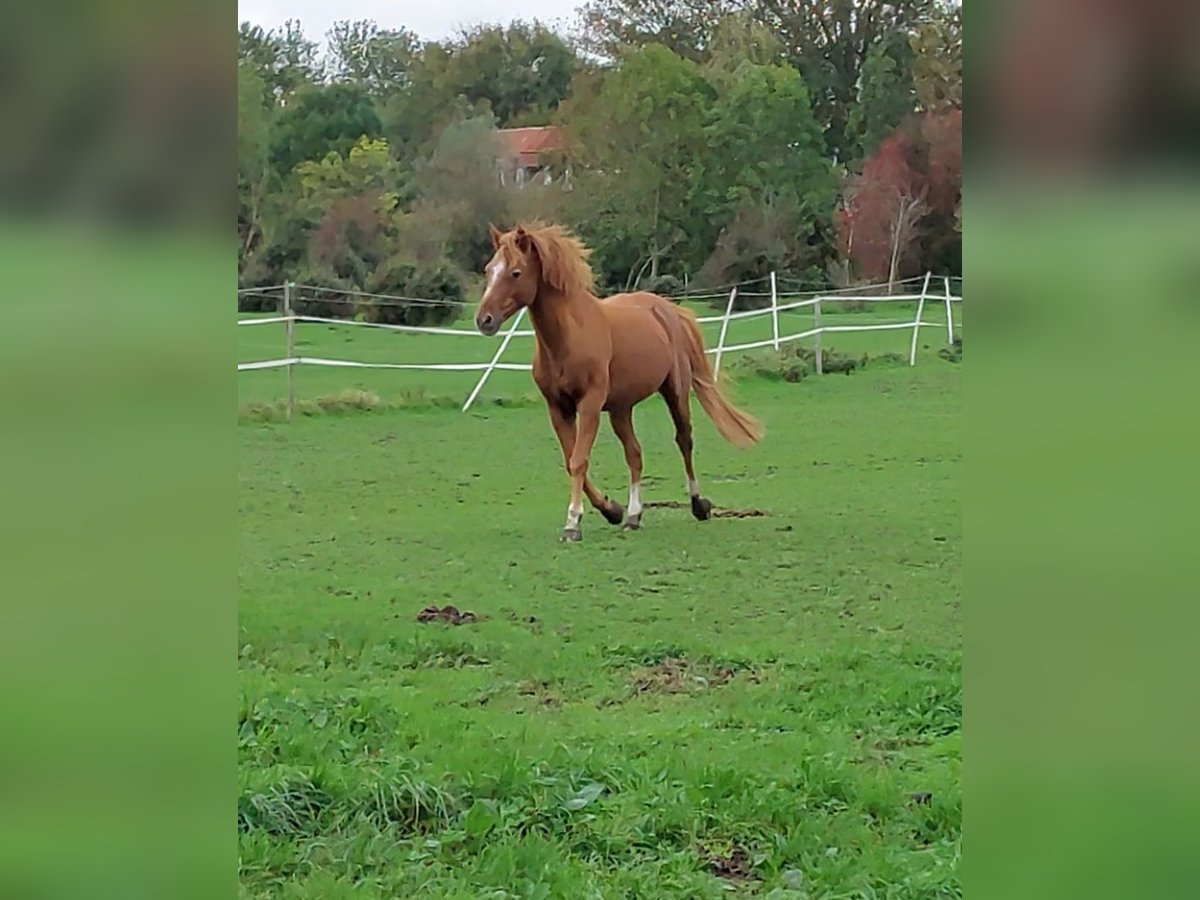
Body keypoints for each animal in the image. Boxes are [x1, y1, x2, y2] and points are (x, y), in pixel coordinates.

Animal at [472, 224, 763, 542]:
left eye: (515, 272)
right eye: (489, 269)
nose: (484, 320)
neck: (568, 336)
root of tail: (668, 310)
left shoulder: (589, 404)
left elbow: (579, 460)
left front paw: (573, 524)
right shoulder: (558, 409)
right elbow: (572, 461)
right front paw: (611, 510)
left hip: (675, 393)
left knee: (684, 440)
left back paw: (699, 505)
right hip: (621, 410)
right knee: (634, 453)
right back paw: (634, 516)